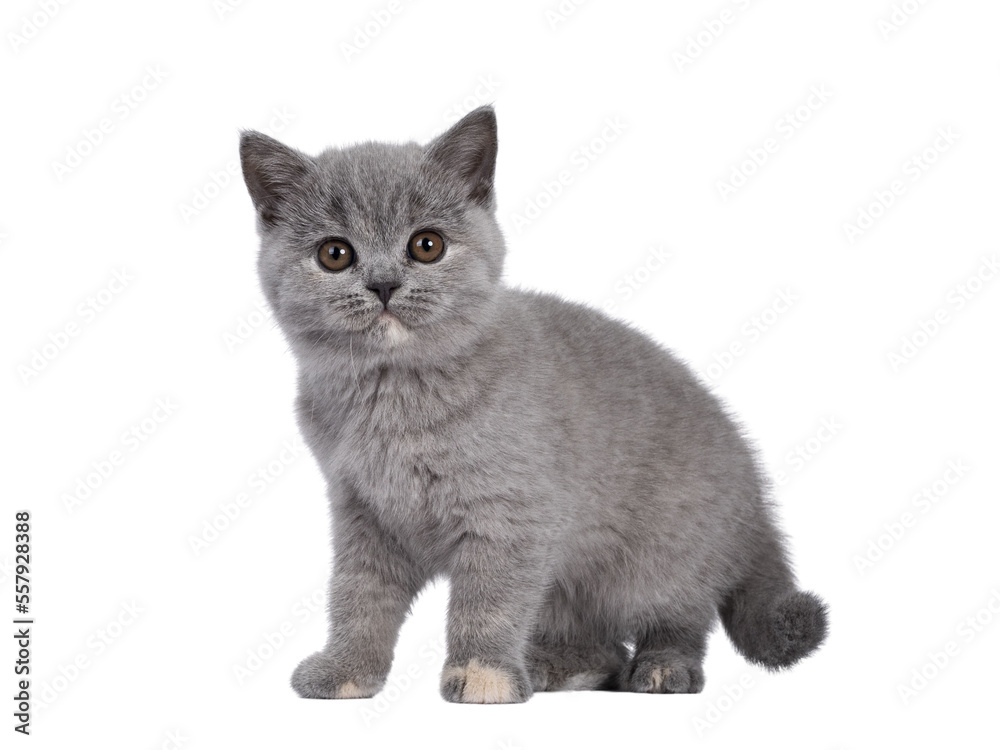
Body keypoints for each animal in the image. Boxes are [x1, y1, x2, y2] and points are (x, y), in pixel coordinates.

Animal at [238, 106, 824, 704]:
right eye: (335, 254)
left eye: (426, 245)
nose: (383, 284)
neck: (393, 398)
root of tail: (755, 500)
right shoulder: (363, 515)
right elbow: (358, 600)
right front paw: (346, 670)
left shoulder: (510, 516)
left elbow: (489, 603)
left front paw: (483, 674)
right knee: (603, 648)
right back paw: (552, 667)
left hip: (659, 561)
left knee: (680, 620)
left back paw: (662, 668)